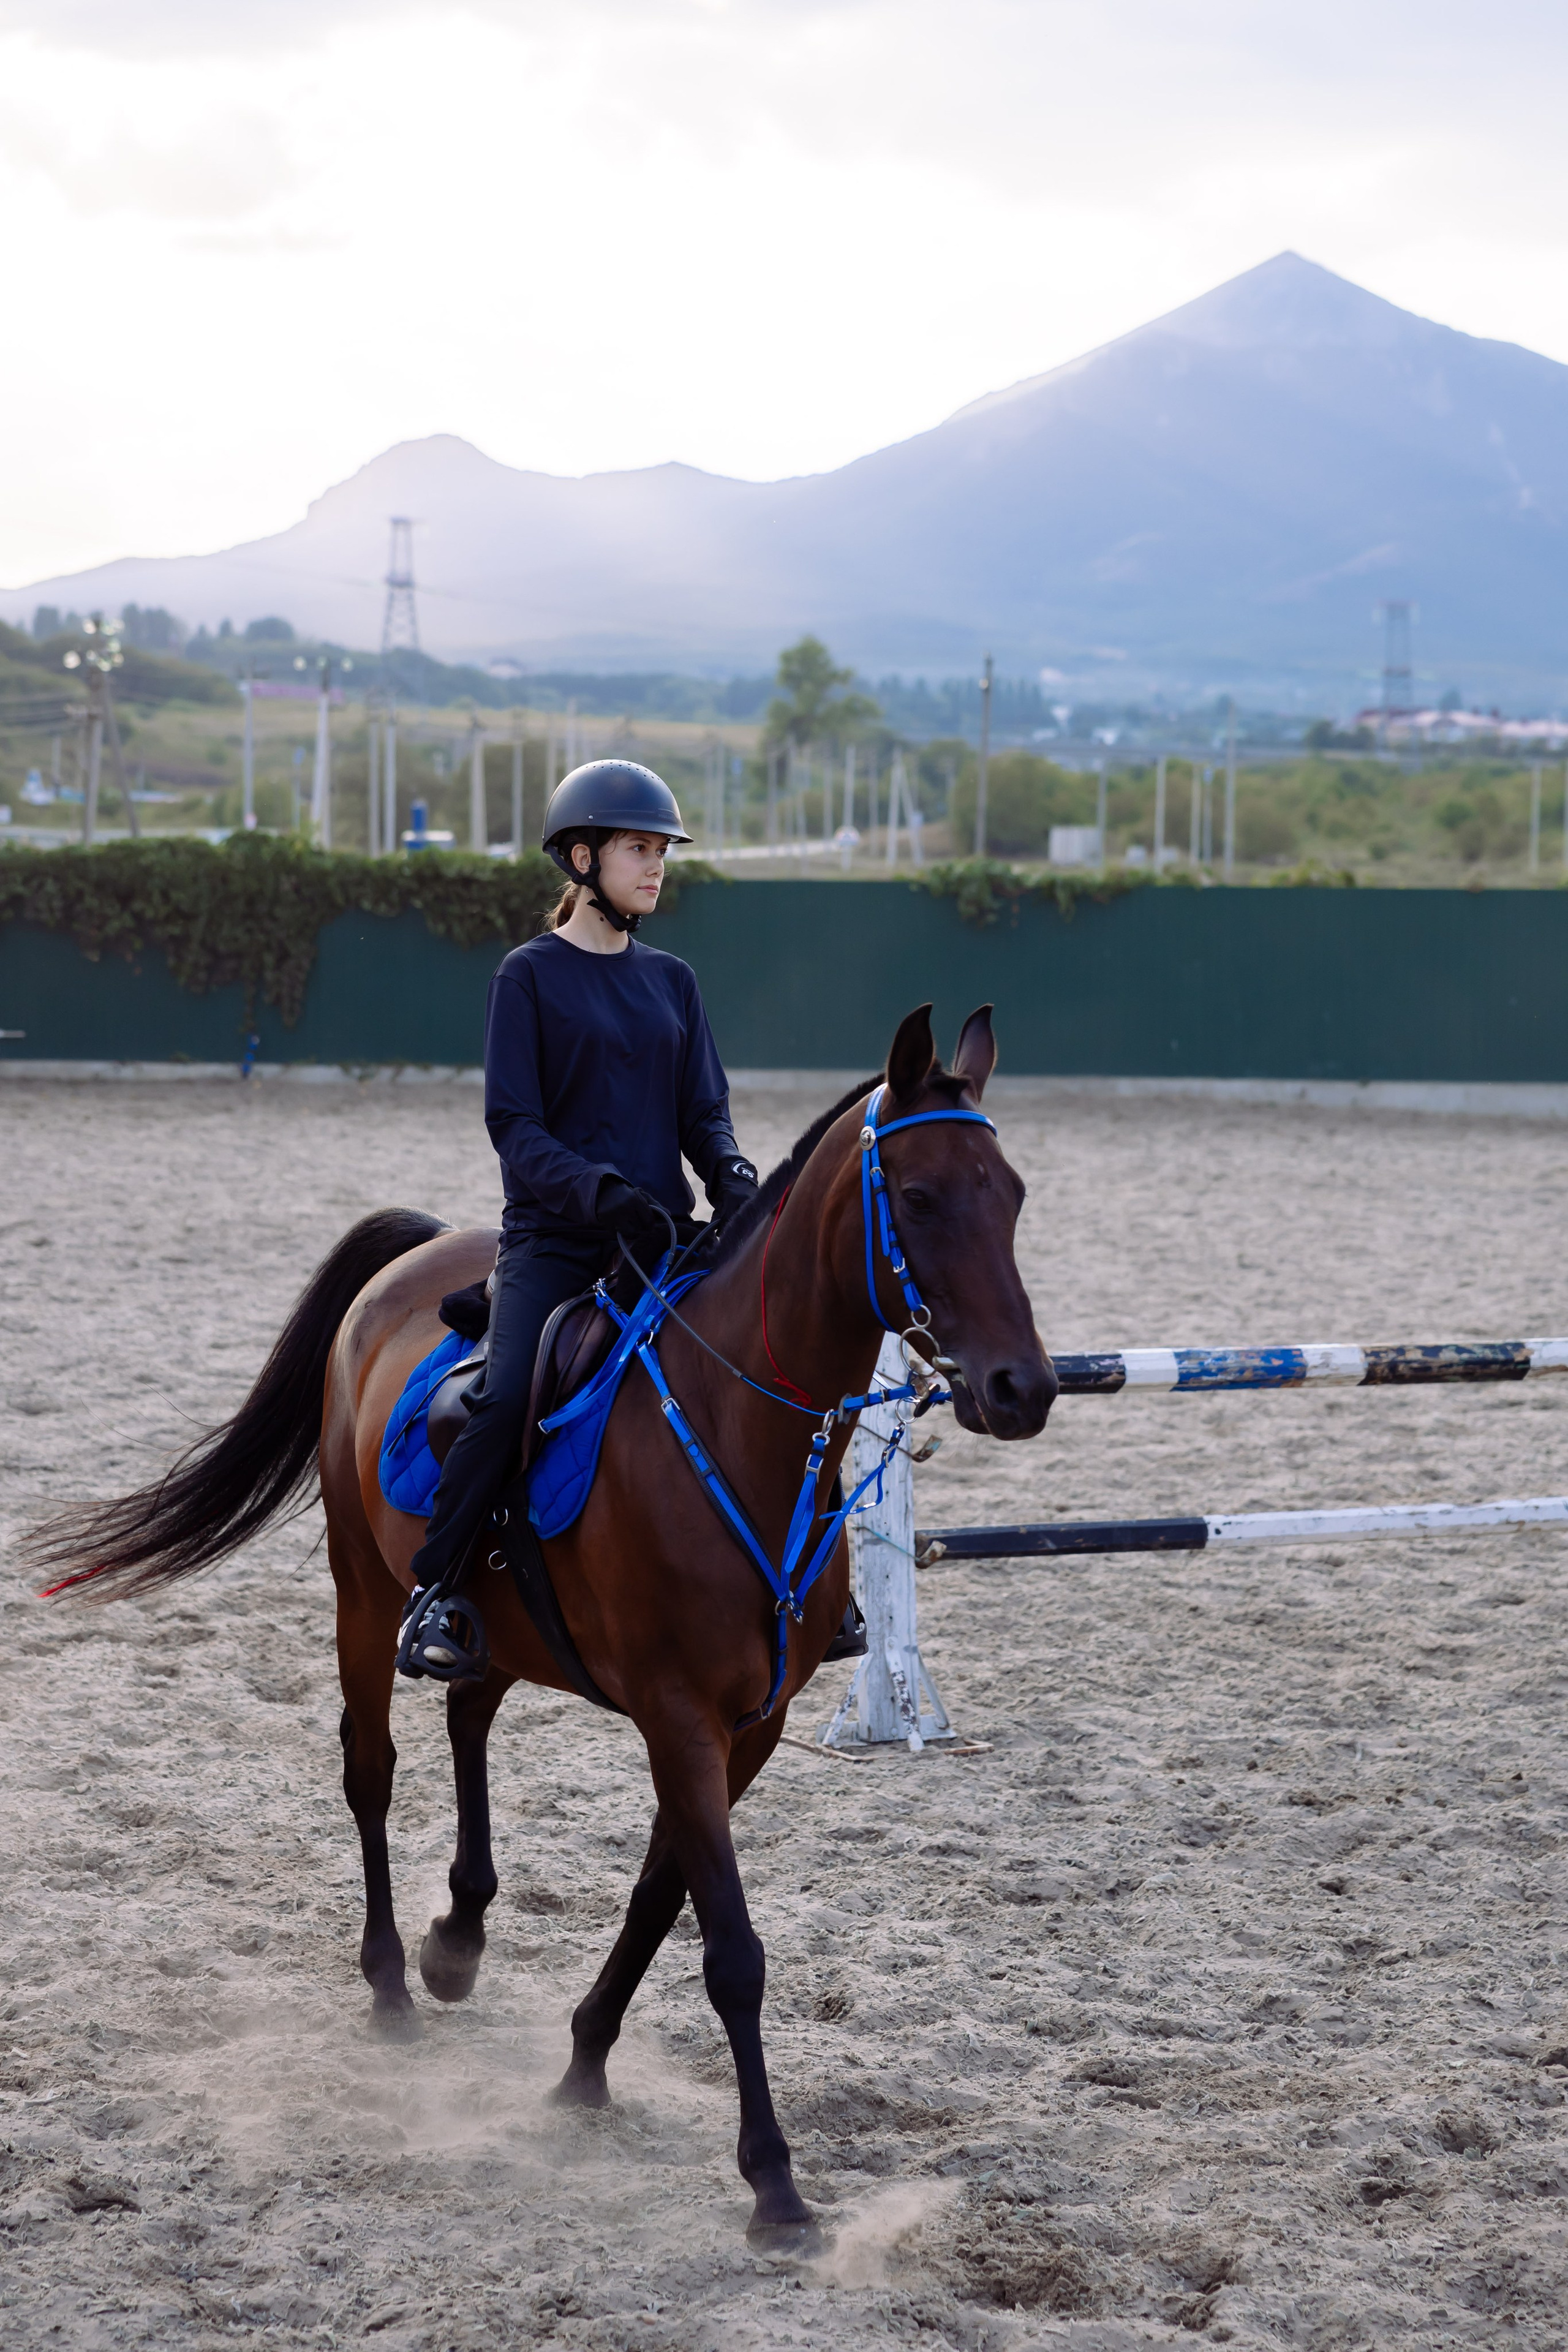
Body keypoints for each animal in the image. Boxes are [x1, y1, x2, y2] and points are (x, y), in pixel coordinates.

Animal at [31, 1002, 1056, 2247]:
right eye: (917, 1196)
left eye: (1010, 1193)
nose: (1022, 1389)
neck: (736, 1429)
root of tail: (423, 1254)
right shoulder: (678, 1715)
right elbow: (732, 1949)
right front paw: (773, 2182)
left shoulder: (746, 1728)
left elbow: (664, 1898)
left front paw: (582, 2066)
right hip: (361, 1592)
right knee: (371, 1769)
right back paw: (391, 1981)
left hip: (502, 1619)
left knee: (470, 1705)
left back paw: (459, 1939)